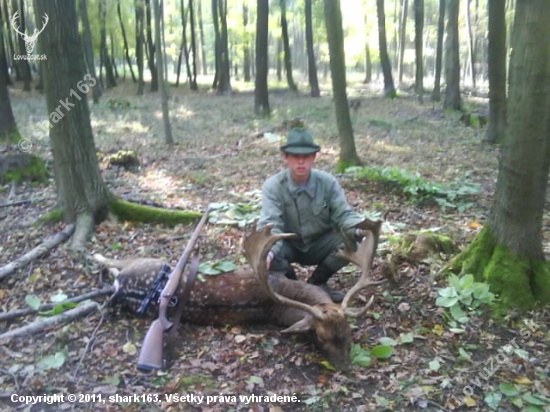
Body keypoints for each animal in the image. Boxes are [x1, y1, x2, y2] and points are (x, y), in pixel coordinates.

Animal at [92, 220, 386, 372]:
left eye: (349, 333)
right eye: (321, 337)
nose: (346, 367)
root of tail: (121, 288)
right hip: (144, 260)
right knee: (113, 260)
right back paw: (95, 255)